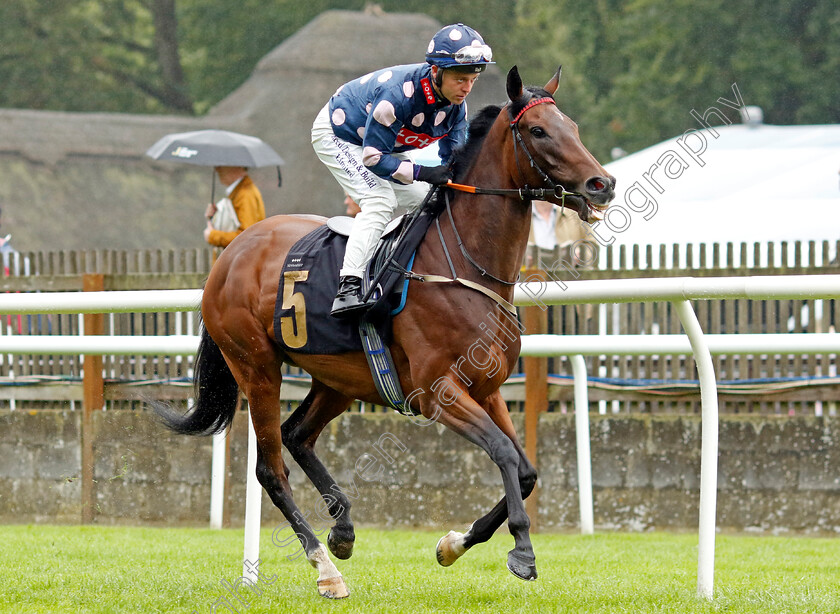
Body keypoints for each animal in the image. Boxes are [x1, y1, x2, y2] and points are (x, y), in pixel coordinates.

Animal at [154, 65, 612, 600]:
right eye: (538, 131)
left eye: (572, 126)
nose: (603, 184)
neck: (462, 265)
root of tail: (229, 255)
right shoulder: (438, 393)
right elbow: (502, 453)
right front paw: (521, 551)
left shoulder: (489, 388)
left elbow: (526, 471)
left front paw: (453, 544)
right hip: (256, 366)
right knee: (271, 467)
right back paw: (326, 568)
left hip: (339, 378)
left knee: (297, 435)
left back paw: (343, 530)